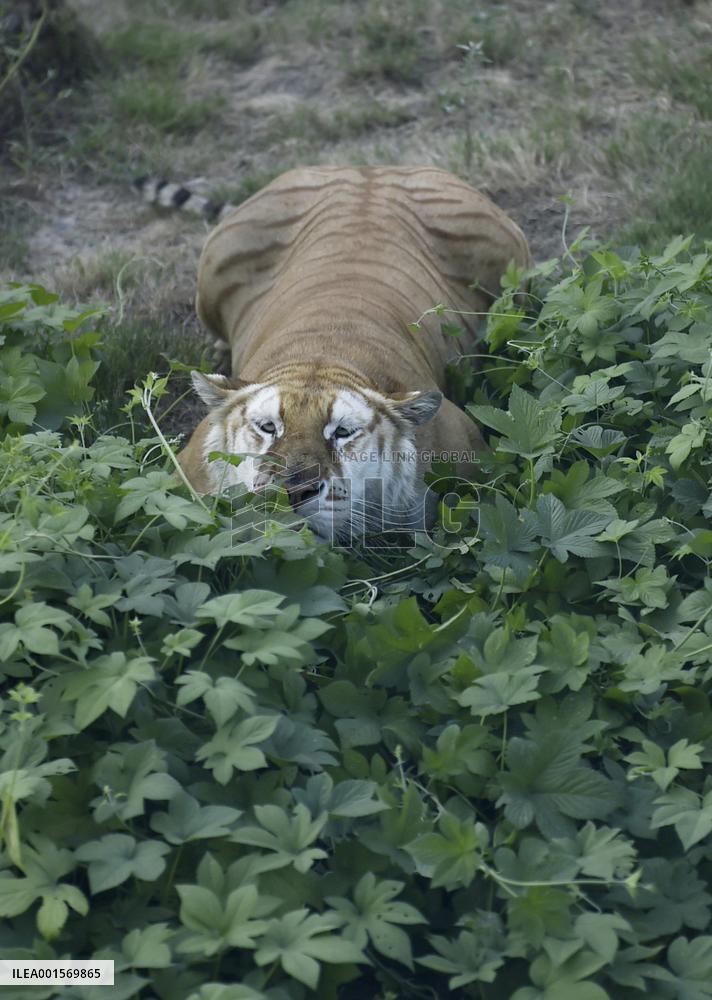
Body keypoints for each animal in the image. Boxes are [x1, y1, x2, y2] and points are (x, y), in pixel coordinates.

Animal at [135, 166, 530, 542]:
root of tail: (366, 168)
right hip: (211, 274)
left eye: (343, 432)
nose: (293, 492)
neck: (322, 355)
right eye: (267, 427)